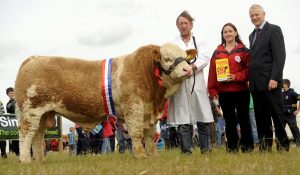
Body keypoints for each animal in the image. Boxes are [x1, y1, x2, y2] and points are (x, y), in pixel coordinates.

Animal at [14, 42, 197, 163]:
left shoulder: (148, 113)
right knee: (26, 133)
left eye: (185, 57)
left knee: (37, 135)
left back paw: (39, 160)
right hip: (31, 109)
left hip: (43, 113)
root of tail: (33, 59)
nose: (188, 69)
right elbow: (137, 134)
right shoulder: (134, 109)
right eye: (167, 58)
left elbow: (150, 137)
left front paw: (153, 156)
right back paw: (25, 160)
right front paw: (140, 156)